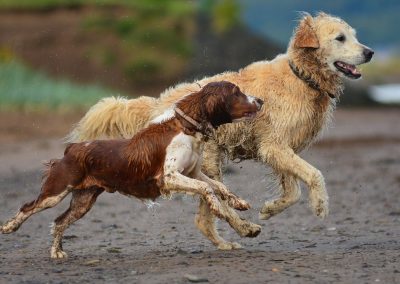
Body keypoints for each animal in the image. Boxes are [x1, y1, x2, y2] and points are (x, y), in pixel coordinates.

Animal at [0, 81, 262, 258]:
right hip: (56, 190)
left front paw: (238, 202)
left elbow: (219, 186)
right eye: (236, 93)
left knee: (59, 221)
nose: (260, 100)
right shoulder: (168, 177)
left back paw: (56, 252)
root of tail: (72, 148)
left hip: (83, 201)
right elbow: (208, 189)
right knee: (28, 207)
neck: (186, 128)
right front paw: (218, 207)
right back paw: (9, 227)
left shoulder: (192, 173)